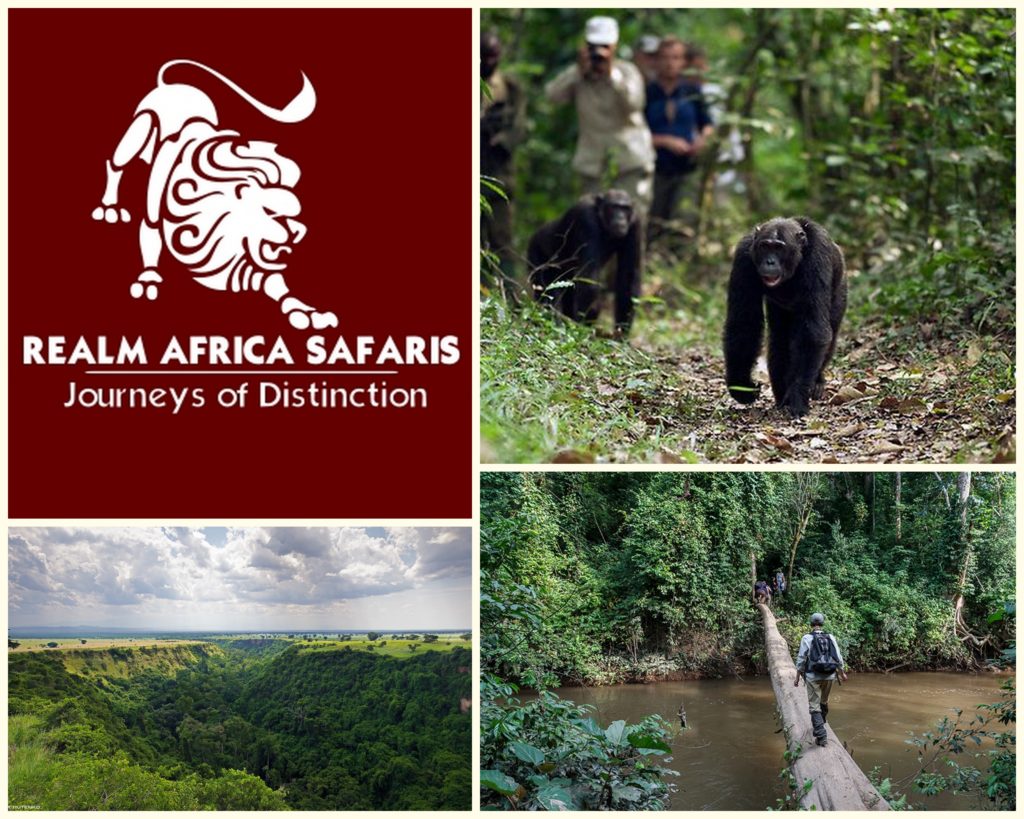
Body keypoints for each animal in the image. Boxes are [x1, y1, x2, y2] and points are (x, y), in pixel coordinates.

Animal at [528, 189, 638, 335]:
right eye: (614, 207)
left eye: (625, 208)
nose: (620, 217)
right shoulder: (586, 218)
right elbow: (589, 278)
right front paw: (582, 328)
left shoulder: (636, 223)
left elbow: (628, 278)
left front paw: (621, 333)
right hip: (536, 255)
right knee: (546, 294)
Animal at [729, 216, 847, 415]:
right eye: (765, 246)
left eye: (779, 248)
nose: (769, 262)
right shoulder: (743, 258)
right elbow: (744, 323)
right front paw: (741, 387)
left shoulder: (818, 257)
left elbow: (813, 331)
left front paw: (797, 397)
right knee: (779, 339)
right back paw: (781, 394)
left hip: (841, 290)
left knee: (830, 330)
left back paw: (816, 383)